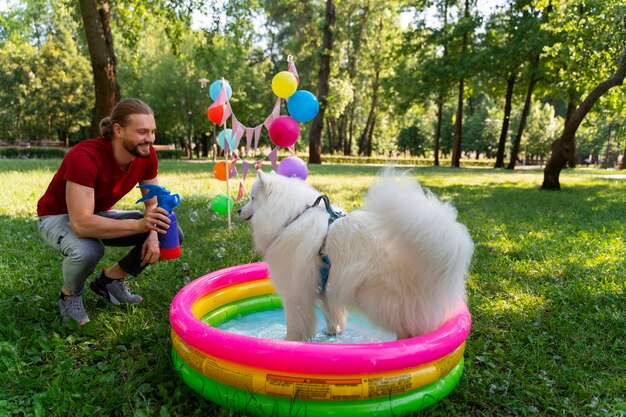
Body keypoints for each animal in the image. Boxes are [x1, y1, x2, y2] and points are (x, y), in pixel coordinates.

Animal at [236, 169, 470, 342]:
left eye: (252, 198)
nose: (238, 211)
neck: (293, 217)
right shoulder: (326, 285)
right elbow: (332, 314)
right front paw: (332, 332)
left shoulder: (296, 293)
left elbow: (296, 323)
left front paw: (289, 342)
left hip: (382, 300)